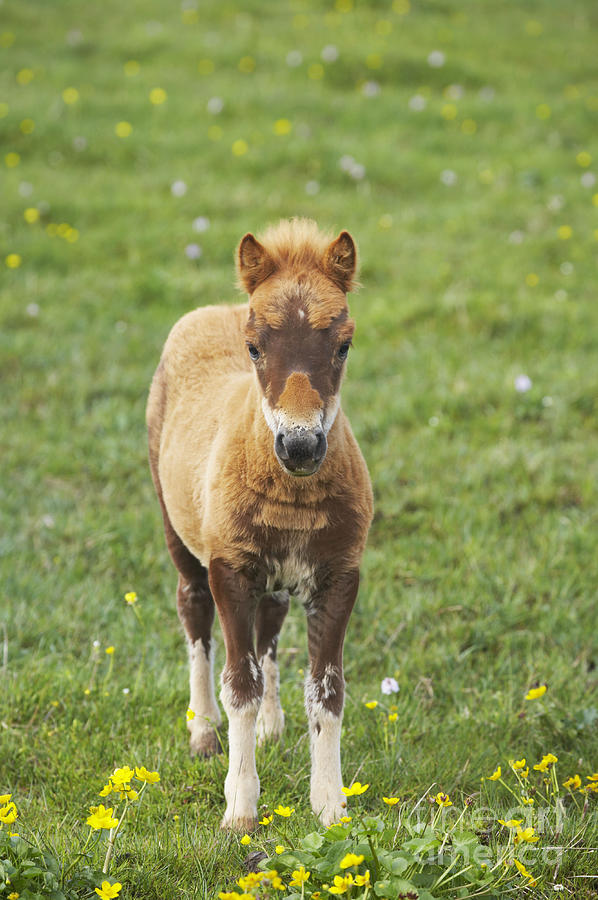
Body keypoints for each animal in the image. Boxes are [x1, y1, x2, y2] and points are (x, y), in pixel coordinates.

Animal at [148, 218, 372, 828]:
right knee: (192, 608)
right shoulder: (231, 567)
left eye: (343, 345)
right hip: (176, 525)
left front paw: (331, 808)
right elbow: (239, 685)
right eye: (254, 347)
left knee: (271, 620)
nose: (300, 446)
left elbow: (327, 690)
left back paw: (272, 727)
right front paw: (240, 810)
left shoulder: (338, 574)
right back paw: (203, 732)